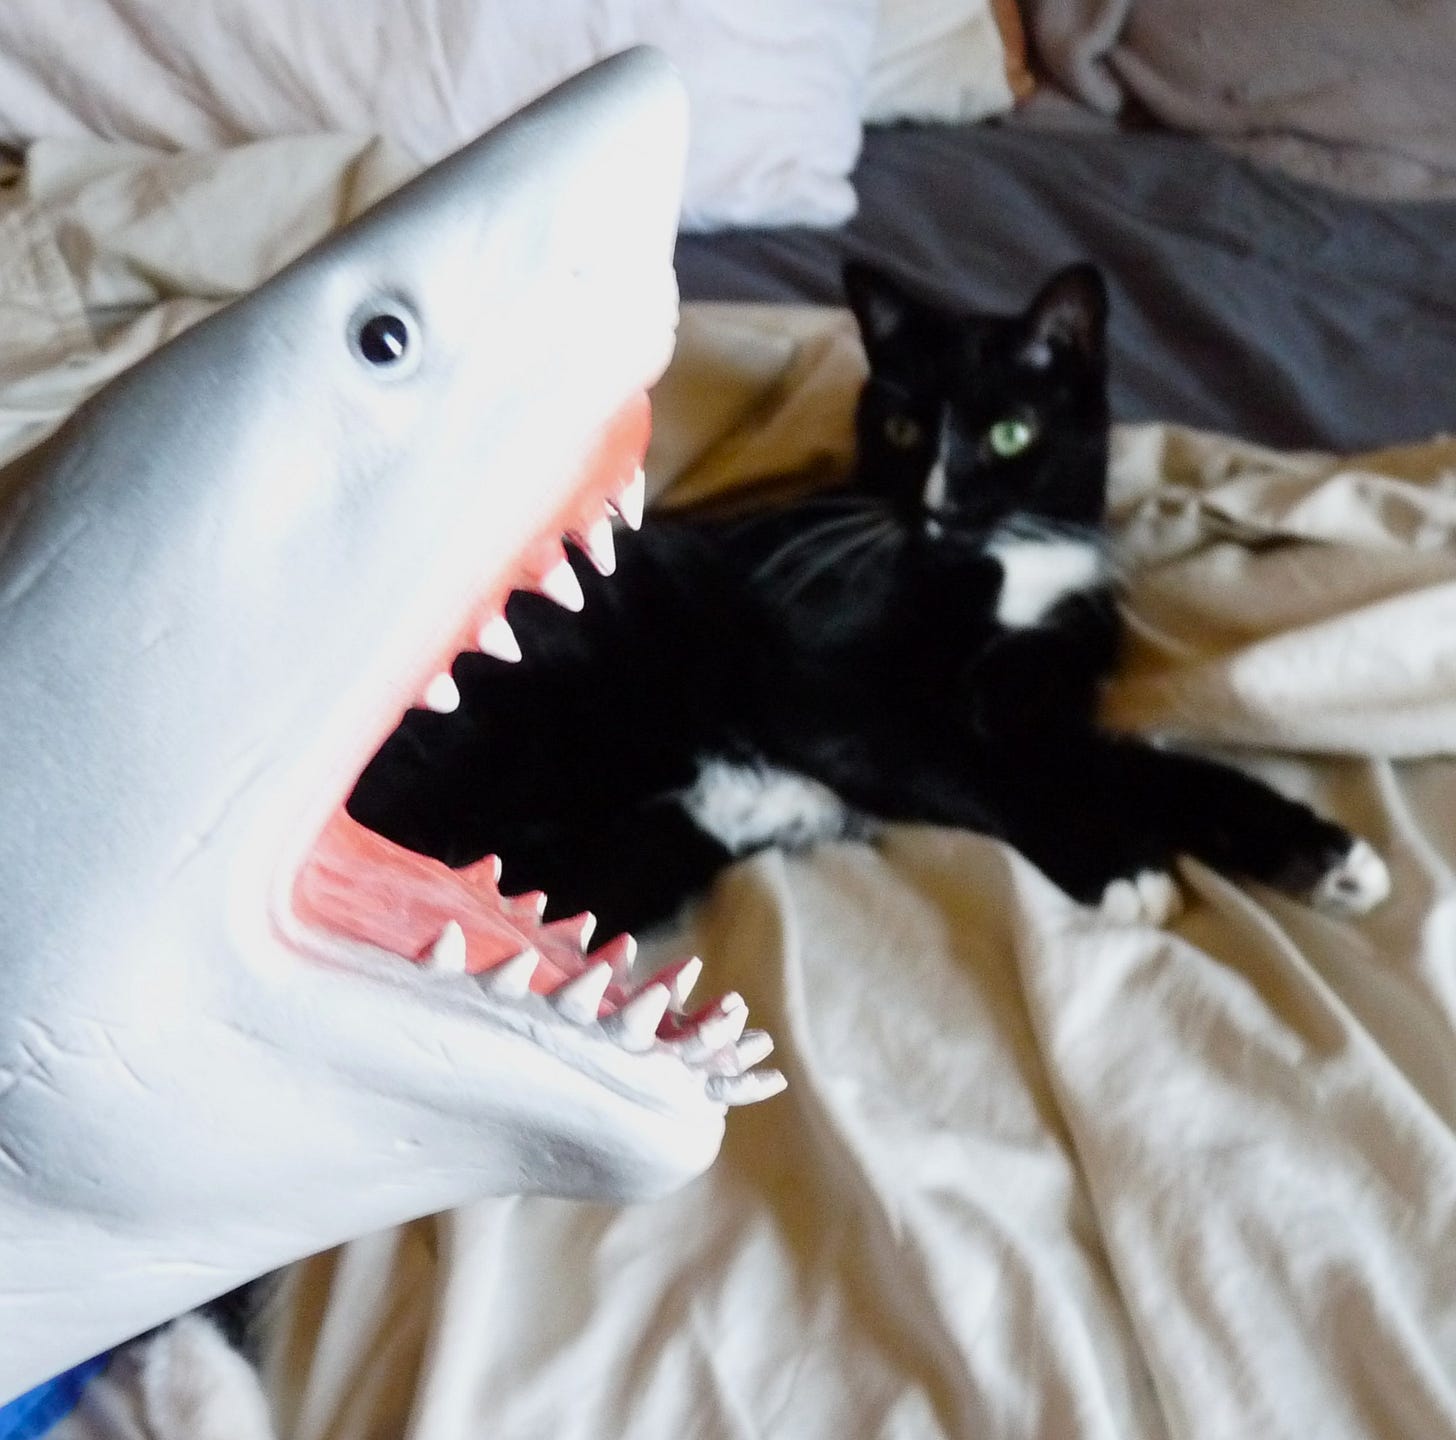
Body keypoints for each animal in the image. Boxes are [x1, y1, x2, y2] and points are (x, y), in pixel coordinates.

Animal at [347, 259, 1389, 937]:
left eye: (1010, 433)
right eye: (899, 427)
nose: (939, 501)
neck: (1003, 559)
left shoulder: (1039, 710)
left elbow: (1146, 767)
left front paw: (1323, 855)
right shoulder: (836, 694)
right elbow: (988, 777)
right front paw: (1120, 866)